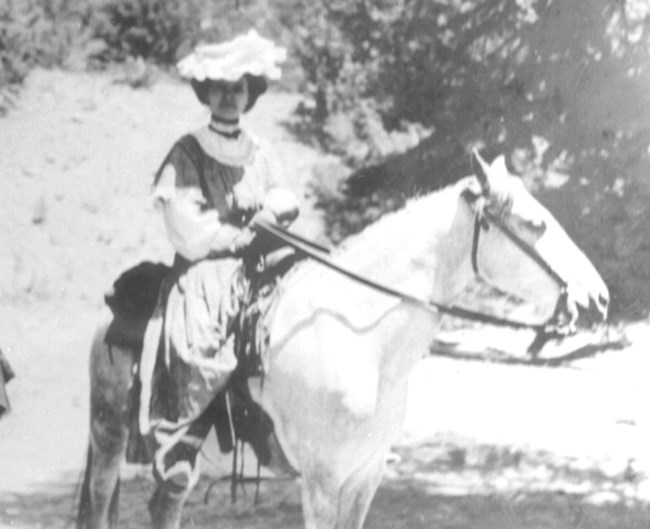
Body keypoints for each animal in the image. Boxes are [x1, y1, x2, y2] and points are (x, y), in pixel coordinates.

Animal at [77, 150, 608, 528]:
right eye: (535, 223)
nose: (599, 299)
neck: (362, 339)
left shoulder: (364, 476)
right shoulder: (321, 482)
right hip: (110, 439)